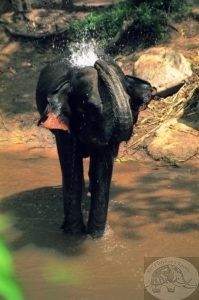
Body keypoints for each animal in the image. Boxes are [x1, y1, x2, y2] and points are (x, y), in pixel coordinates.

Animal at [36, 58, 157, 237]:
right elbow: (72, 171)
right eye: (91, 107)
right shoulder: (66, 129)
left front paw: (96, 237)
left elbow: (101, 171)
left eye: (130, 101)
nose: (98, 62)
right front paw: (73, 235)